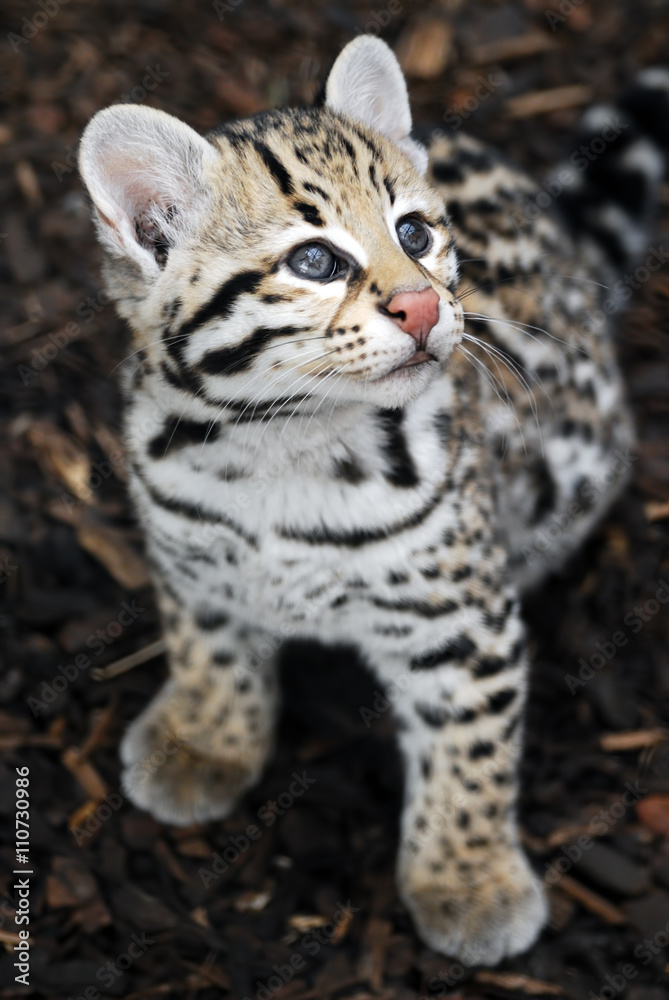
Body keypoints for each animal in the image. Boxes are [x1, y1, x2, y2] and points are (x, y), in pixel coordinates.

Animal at [79, 41, 668, 968]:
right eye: (314, 262)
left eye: (414, 234)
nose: (424, 304)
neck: (285, 441)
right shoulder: (193, 561)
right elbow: (209, 650)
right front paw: (204, 739)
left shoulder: (459, 621)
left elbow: (469, 750)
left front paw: (468, 881)